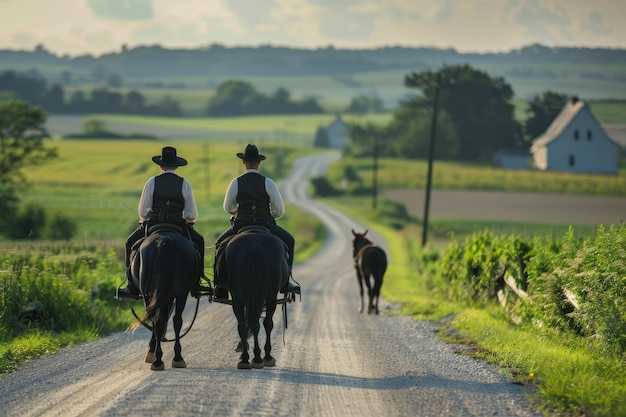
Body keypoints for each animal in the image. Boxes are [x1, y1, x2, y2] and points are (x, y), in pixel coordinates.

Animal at [129, 226, 200, 368]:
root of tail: (165, 240)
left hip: (152, 294)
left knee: (161, 319)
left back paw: (160, 358)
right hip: (178, 294)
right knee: (173, 321)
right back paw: (172, 357)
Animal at [224, 228, 288, 368]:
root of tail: (255, 245)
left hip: (239, 297)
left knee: (244, 325)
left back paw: (246, 359)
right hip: (270, 296)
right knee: (266, 323)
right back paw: (264, 357)